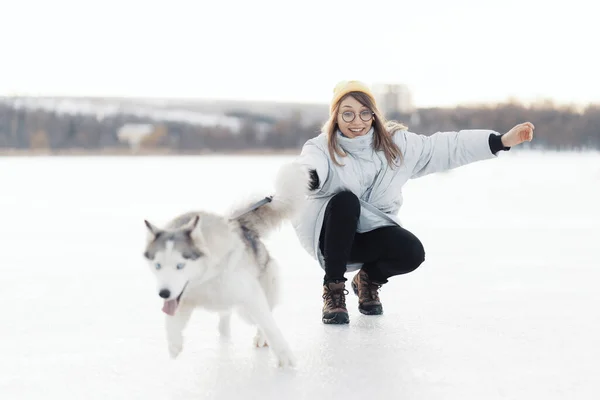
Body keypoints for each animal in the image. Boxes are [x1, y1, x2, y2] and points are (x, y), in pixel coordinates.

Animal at [141, 161, 310, 368]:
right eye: (157, 265)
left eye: (180, 265)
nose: (163, 293)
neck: (205, 278)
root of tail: (243, 226)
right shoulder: (183, 298)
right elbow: (171, 320)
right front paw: (174, 344)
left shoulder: (249, 294)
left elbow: (269, 325)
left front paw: (285, 356)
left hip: (250, 303)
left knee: (261, 318)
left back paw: (260, 337)